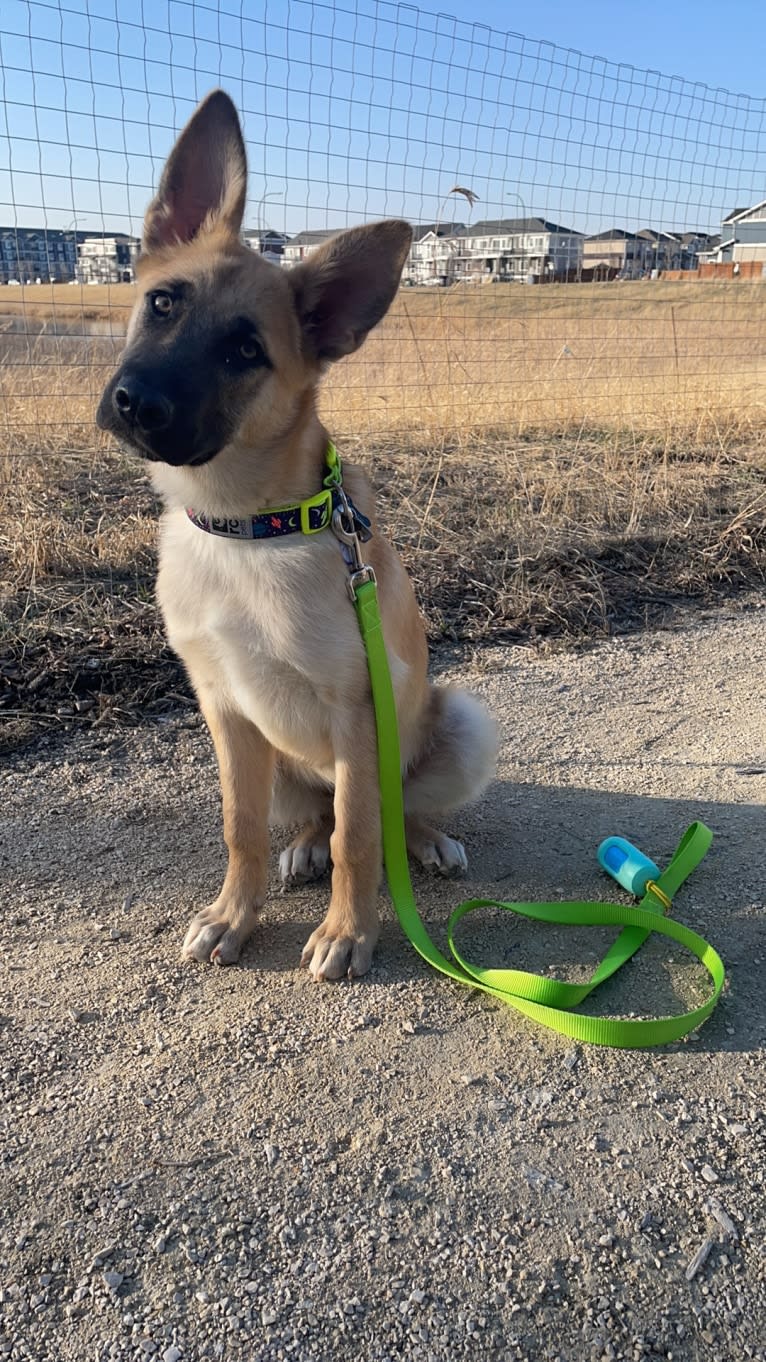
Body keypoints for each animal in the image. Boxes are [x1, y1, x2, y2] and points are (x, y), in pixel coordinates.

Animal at [96, 90, 496, 980]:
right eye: (163, 302)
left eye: (247, 349)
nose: (136, 404)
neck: (249, 528)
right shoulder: (224, 710)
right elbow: (241, 828)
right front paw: (233, 915)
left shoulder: (357, 714)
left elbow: (362, 840)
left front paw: (350, 932)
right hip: (277, 760)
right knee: (317, 817)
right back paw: (306, 844)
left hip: (456, 725)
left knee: (388, 818)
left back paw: (428, 841)